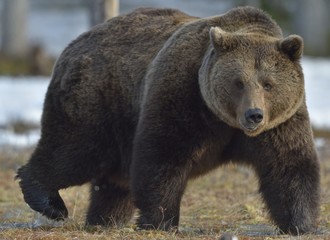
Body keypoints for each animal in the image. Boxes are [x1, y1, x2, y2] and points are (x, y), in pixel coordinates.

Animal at [16, 6, 320, 235]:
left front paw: (301, 224)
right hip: (98, 102)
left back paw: (105, 218)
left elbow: (289, 166)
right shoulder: (183, 97)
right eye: (238, 82)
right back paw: (49, 201)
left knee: (113, 180)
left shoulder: (281, 122)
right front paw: (161, 221)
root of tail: (74, 43)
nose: (254, 115)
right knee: (74, 152)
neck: (225, 121)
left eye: (268, 84)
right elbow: (163, 157)